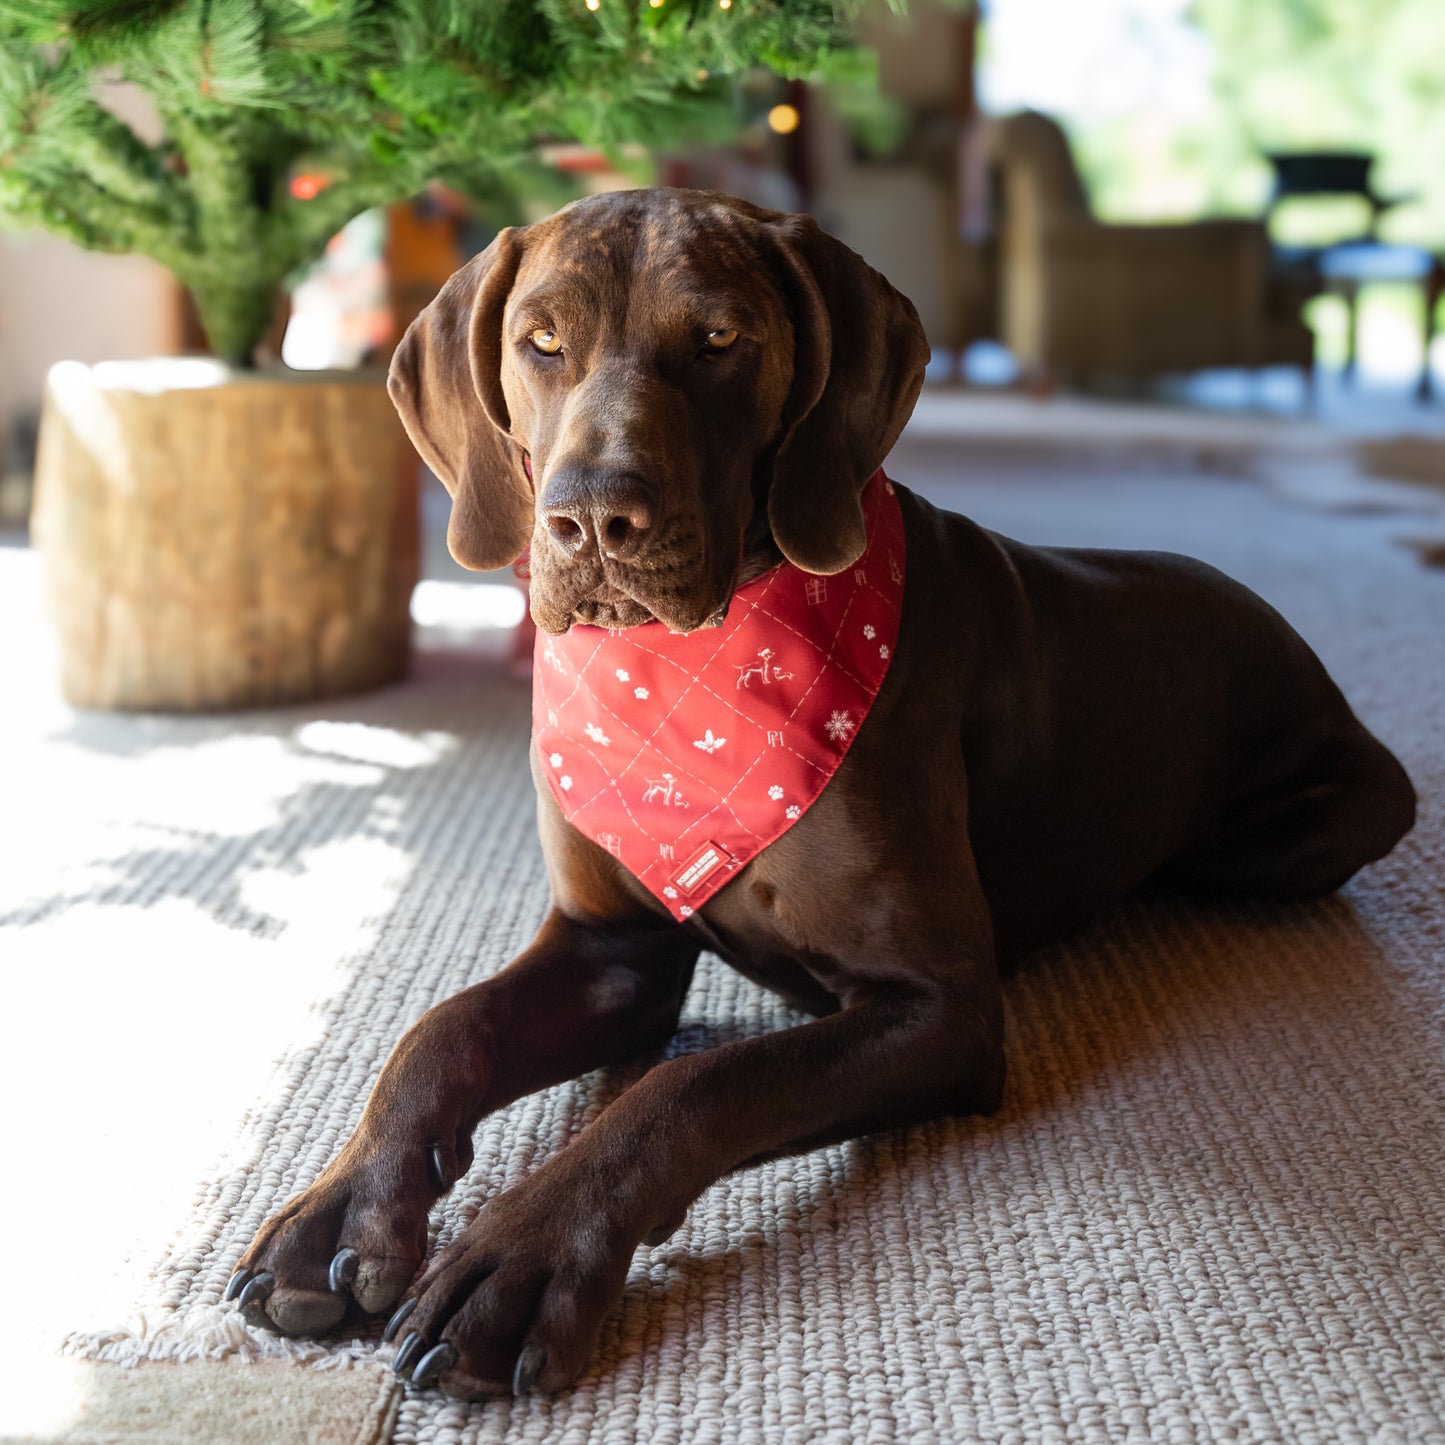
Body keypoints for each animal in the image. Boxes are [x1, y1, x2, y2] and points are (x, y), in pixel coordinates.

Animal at [231, 189, 1416, 1398]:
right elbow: (440, 1031)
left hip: (1311, 825)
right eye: (541, 341)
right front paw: (341, 1210)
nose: (591, 519)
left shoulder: (936, 1005)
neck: (684, 670)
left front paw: (521, 1254)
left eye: (720, 339)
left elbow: (691, 1087)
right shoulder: (612, 946)